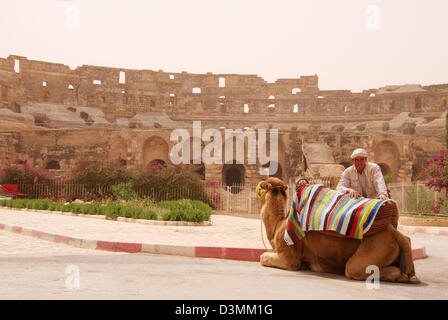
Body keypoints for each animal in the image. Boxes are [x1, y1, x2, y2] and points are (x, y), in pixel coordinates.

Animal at [256, 176, 420, 284]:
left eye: (261, 187)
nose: (257, 188)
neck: (278, 224)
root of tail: (395, 234)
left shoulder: (289, 257)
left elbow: (263, 257)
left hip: (373, 250)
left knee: (354, 269)